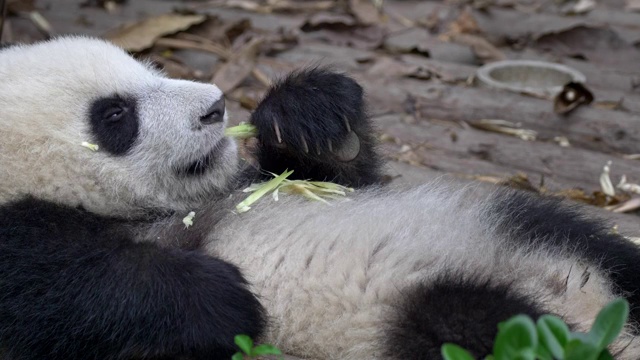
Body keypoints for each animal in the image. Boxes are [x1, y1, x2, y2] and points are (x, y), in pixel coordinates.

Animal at [1, 34, 640, 360]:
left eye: (149, 67)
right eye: (115, 116)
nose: (215, 107)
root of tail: (588, 304)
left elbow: (337, 177)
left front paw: (308, 112)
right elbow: (62, 296)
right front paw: (219, 294)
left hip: (527, 224)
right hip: (416, 319)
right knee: (485, 327)